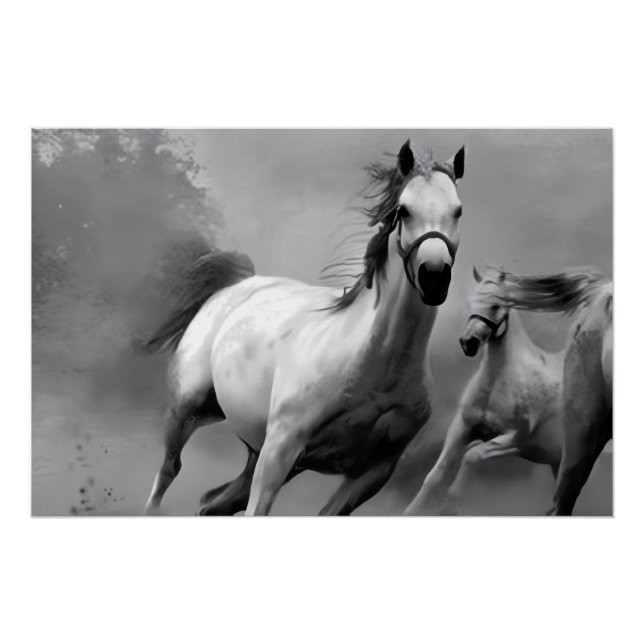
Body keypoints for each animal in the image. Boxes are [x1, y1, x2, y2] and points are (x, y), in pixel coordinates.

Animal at [143, 139, 467, 515]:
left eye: (458, 211)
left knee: (213, 504)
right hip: (188, 411)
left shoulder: (373, 472)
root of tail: (240, 283)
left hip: (259, 453)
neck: (376, 362)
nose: (435, 277)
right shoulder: (280, 450)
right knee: (168, 472)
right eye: (403, 210)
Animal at [405, 264, 612, 516]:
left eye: (495, 304)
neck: (499, 383)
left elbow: (472, 455)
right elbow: (435, 475)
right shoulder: (461, 428)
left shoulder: (515, 440)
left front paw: (451, 503)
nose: (468, 343)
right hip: (557, 462)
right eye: (471, 302)